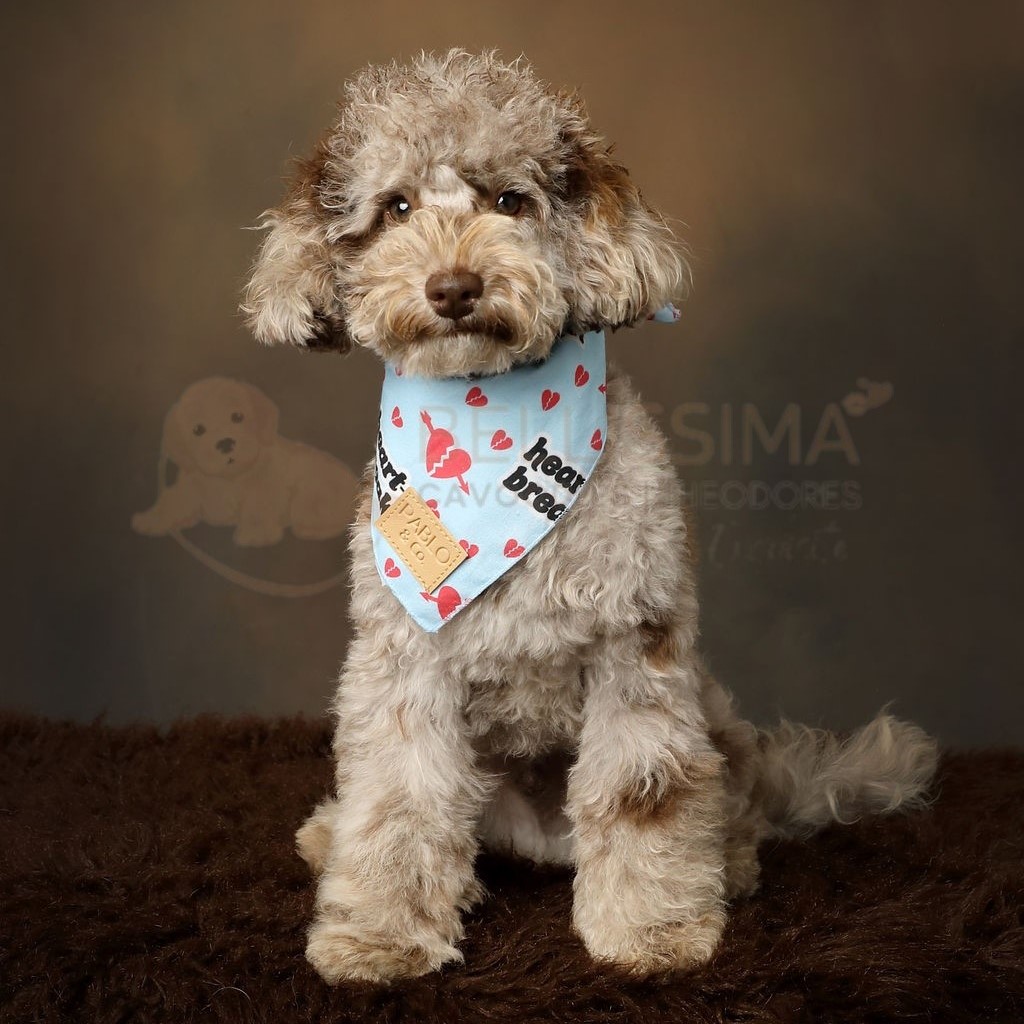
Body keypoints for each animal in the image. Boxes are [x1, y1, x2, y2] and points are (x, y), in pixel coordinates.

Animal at [132, 376, 358, 548]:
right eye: (197, 429)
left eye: (237, 416)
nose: (225, 443)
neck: (230, 478)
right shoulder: (191, 486)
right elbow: (172, 500)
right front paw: (151, 519)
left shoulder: (266, 489)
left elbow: (256, 508)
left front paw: (256, 535)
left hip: (311, 495)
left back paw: (311, 530)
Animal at [241, 49, 937, 983]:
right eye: (396, 208)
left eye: (511, 201)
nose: (454, 286)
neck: (490, 435)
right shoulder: (403, 663)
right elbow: (395, 798)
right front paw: (380, 935)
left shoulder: (635, 650)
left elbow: (644, 793)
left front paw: (650, 930)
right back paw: (332, 837)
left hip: (712, 721)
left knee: (723, 807)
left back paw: (730, 862)